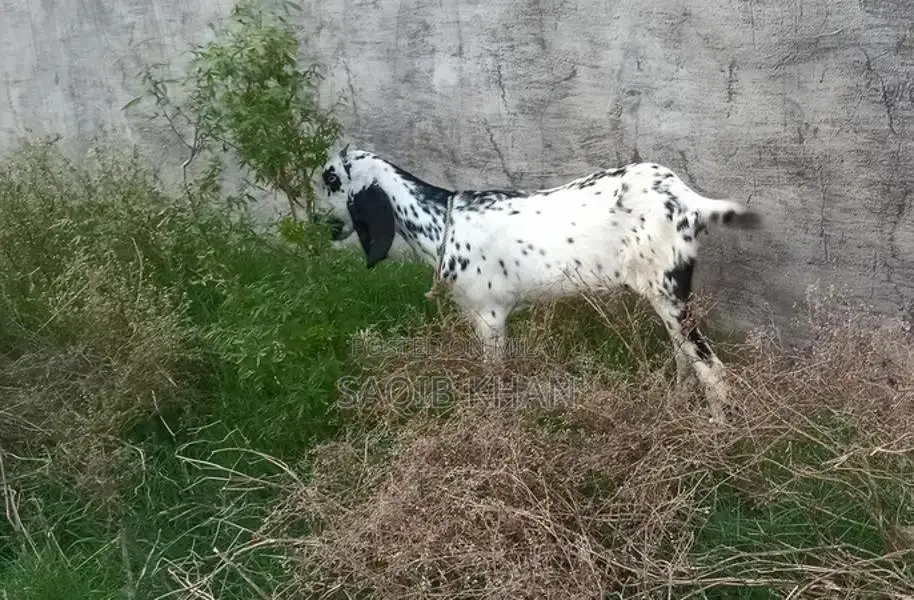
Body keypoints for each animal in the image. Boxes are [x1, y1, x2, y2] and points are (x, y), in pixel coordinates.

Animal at [316, 145, 762, 422]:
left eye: (331, 180)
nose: (319, 225)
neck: (441, 221)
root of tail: (687, 199)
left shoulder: (490, 318)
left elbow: (494, 379)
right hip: (665, 300)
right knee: (685, 358)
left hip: (669, 297)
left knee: (712, 369)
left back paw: (717, 428)